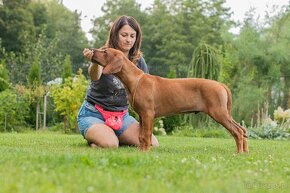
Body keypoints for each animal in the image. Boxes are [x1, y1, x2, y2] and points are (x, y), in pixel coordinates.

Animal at [92, 47, 248, 152]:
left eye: (105, 52)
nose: (92, 51)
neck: (135, 80)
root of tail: (221, 85)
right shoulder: (142, 115)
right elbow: (141, 136)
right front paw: (141, 151)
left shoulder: (148, 114)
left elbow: (146, 135)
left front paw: (145, 152)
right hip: (223, 112)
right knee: (243, 129)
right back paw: (245, 152)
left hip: (218, 112)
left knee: (238, 131)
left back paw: (239, 153)